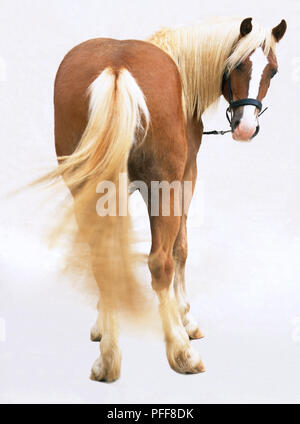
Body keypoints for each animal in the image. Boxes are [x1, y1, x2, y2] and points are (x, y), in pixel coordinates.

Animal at [45, 16, 284, 382]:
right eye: (238, 65)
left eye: (272, 70)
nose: (245, 128)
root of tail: (117, 68)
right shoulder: (185, 178)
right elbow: (180, 249)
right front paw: (185, 318)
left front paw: (102, 323)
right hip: (164, 186)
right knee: (160, 262)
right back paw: (181, 352)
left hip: (84, 188)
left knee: (101, 258)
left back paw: (107, 358)